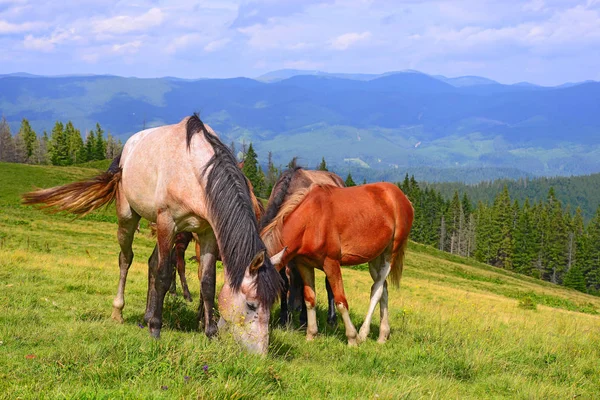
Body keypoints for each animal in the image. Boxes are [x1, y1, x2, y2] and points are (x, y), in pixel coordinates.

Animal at [22, 114, 284, 354]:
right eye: (251, 305)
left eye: (271, 304)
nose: (260, 354)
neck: (195, 173)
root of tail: (124, 152)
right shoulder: (168, 222)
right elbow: (164, 275)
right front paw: (156, 330)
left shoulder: (208, 232)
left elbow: (207, 282)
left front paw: (210, 334)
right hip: (129, 219)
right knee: (126, 259)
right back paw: (119, 312)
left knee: (151, 262)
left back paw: (147, 315)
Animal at [260, 183, 414, 346]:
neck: (310, 221)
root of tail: (402, 197)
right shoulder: (304, 265)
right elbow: (310, 299)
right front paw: (311, 334)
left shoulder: (331, 264)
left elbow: (341, 301)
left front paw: (352, 339)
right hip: (375, 257)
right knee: (383, 289)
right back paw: (382, 335)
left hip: (390, 253)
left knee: (376, 290)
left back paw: (363, 333)